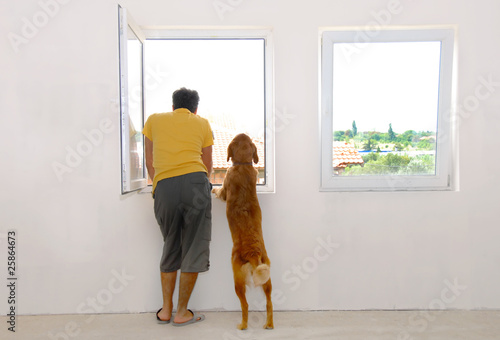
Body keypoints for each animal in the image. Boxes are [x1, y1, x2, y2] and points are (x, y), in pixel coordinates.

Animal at [212, 133, 274, 330]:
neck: (244, 165)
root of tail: (253, 253)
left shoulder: (225, 187)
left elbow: (219, 191)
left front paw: (213, 188)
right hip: (266, 278)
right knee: (269, 303)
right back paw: (269, 324)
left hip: (237, 280)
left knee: (245, 305)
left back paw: (243, 325)